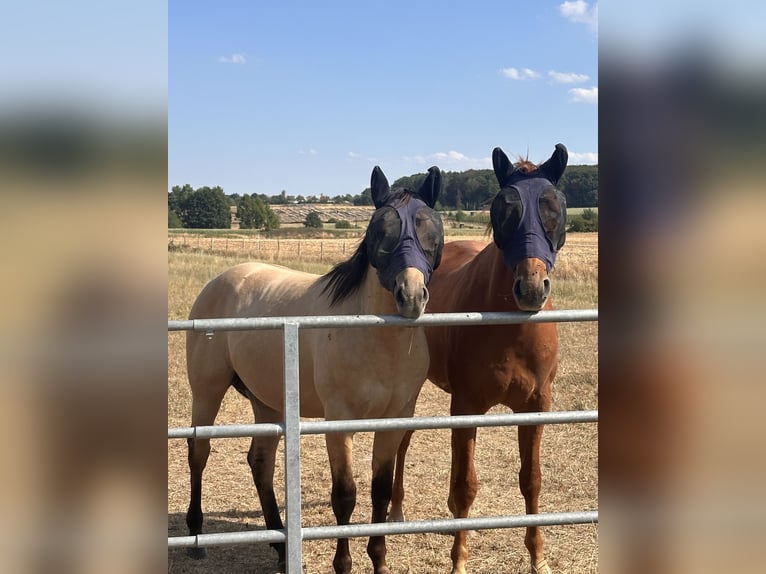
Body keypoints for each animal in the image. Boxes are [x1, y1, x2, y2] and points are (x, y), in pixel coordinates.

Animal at [184, 165, 445, 574]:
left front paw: (379, 560)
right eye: (380, 231)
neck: (376, 339)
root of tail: (220, 282)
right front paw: (343, 563)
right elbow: (345, 495)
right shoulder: (338, 421)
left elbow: (381, 492)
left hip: (267, 401)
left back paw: (280, 548)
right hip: (207, 391)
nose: (411, 295)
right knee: (199, 452)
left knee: (260, 463)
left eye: (431, 230)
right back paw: (196, 537)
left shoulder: (394, 420)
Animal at [390, 145, 569, 574]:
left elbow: (531, 480)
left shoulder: (537, 405)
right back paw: (396, 511)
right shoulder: (467, 405)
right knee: (402, 439)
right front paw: (459, 561)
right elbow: (466, 485)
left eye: (556, 207)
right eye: (503, 210)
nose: (531, 288)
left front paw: (538, 556)